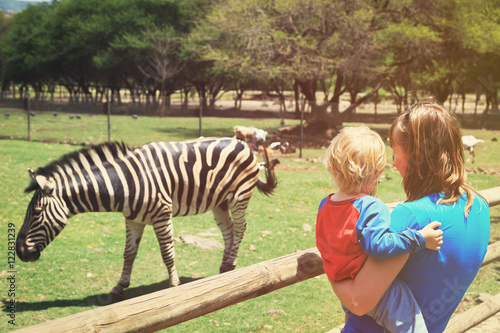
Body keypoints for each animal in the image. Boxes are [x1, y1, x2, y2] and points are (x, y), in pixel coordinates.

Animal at [16, 136, 278, 296]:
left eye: (36, 213)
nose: (19, 251)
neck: (123, 183)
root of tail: (243, 143)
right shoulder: (132, 219)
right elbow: (128, 254)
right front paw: (119, 288)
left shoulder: (162, 214)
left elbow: (167, 253)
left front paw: (174, 285)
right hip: (219, 203)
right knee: (229, 231)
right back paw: (226, 267)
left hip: (239, 197)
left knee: (241, 228)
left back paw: (231, 263)